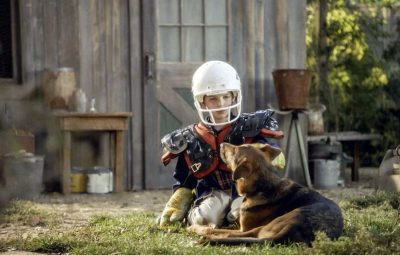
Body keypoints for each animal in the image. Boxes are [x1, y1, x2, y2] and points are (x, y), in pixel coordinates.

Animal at [188, 143, 344, 245]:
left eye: (234, 149)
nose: (220, 144)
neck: (262, 187)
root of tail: (295, 228)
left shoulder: (243, 228)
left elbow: (218, 230)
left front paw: (199, 227)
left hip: (262, 227)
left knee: (229, 234)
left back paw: (201, 233)